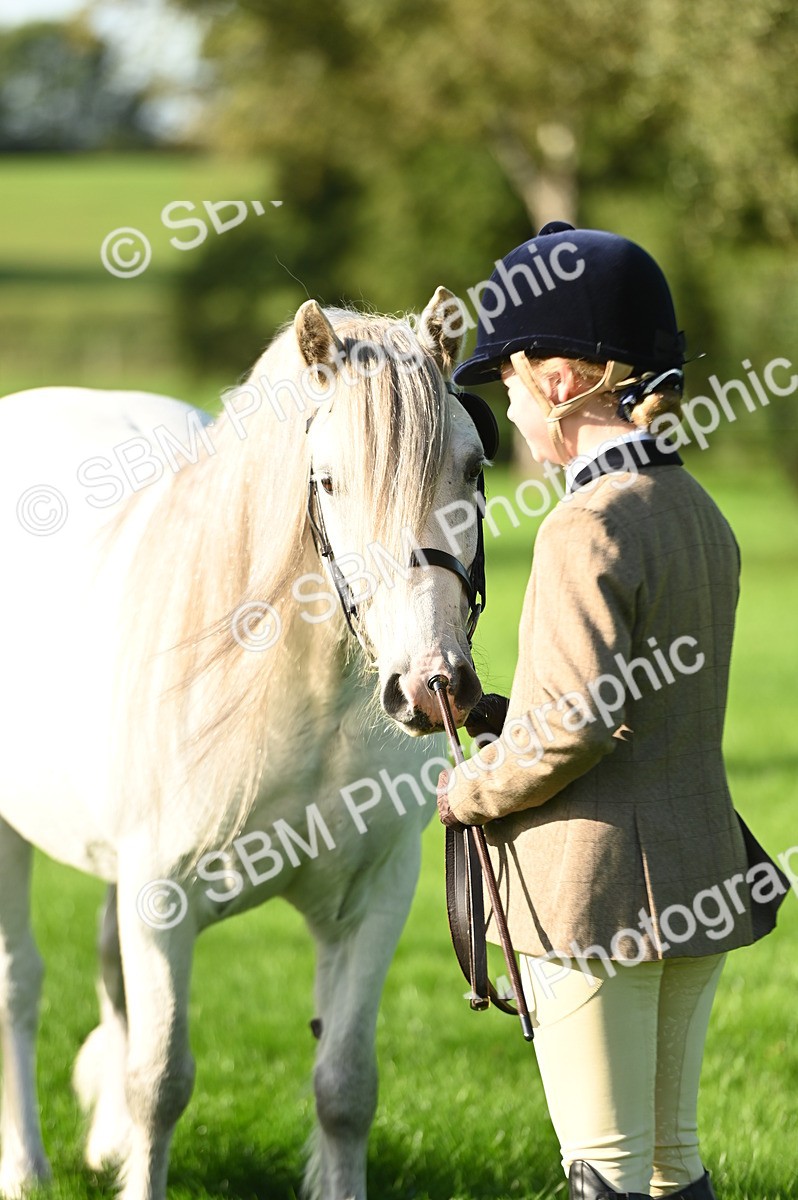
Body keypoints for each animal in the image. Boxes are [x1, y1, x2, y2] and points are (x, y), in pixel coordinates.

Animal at [0, 289, 495, 1200]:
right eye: (328, 480)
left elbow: (345, 1088)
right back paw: (25, 1168)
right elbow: (160, 1082)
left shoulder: (374, 900)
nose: (432, 686)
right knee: (19, 985)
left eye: (474, 468)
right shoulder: (160, 896)